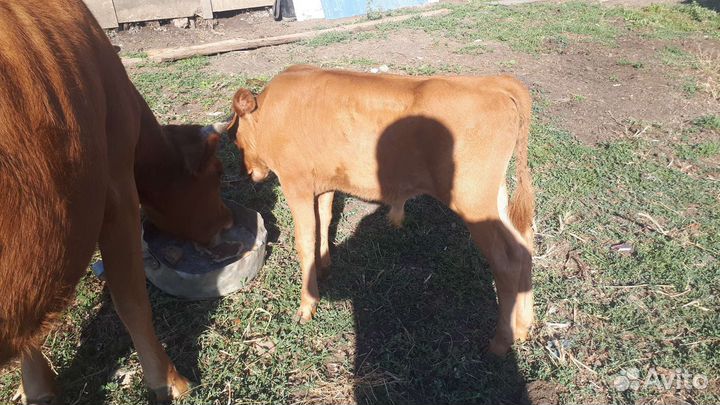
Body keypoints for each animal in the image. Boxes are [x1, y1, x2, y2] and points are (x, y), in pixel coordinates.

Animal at [0, 0, 233, 403]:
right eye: (217, 173)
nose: (231, 219)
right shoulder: (119, 190)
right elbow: (132, 301)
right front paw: (169, 380)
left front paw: (38, 388)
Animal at [224, 65, 535, 355]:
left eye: (236, 138)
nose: (244, 173)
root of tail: (491, 83)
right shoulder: (324, 183)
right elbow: (324, 221)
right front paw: (324, 266)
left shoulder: (295, 182)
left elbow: (305, 240)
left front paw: (307, 305)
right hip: (494, 197)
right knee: (523, 246)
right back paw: (522, 328)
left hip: (474, 200)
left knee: (507, 262)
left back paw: (500, 341)